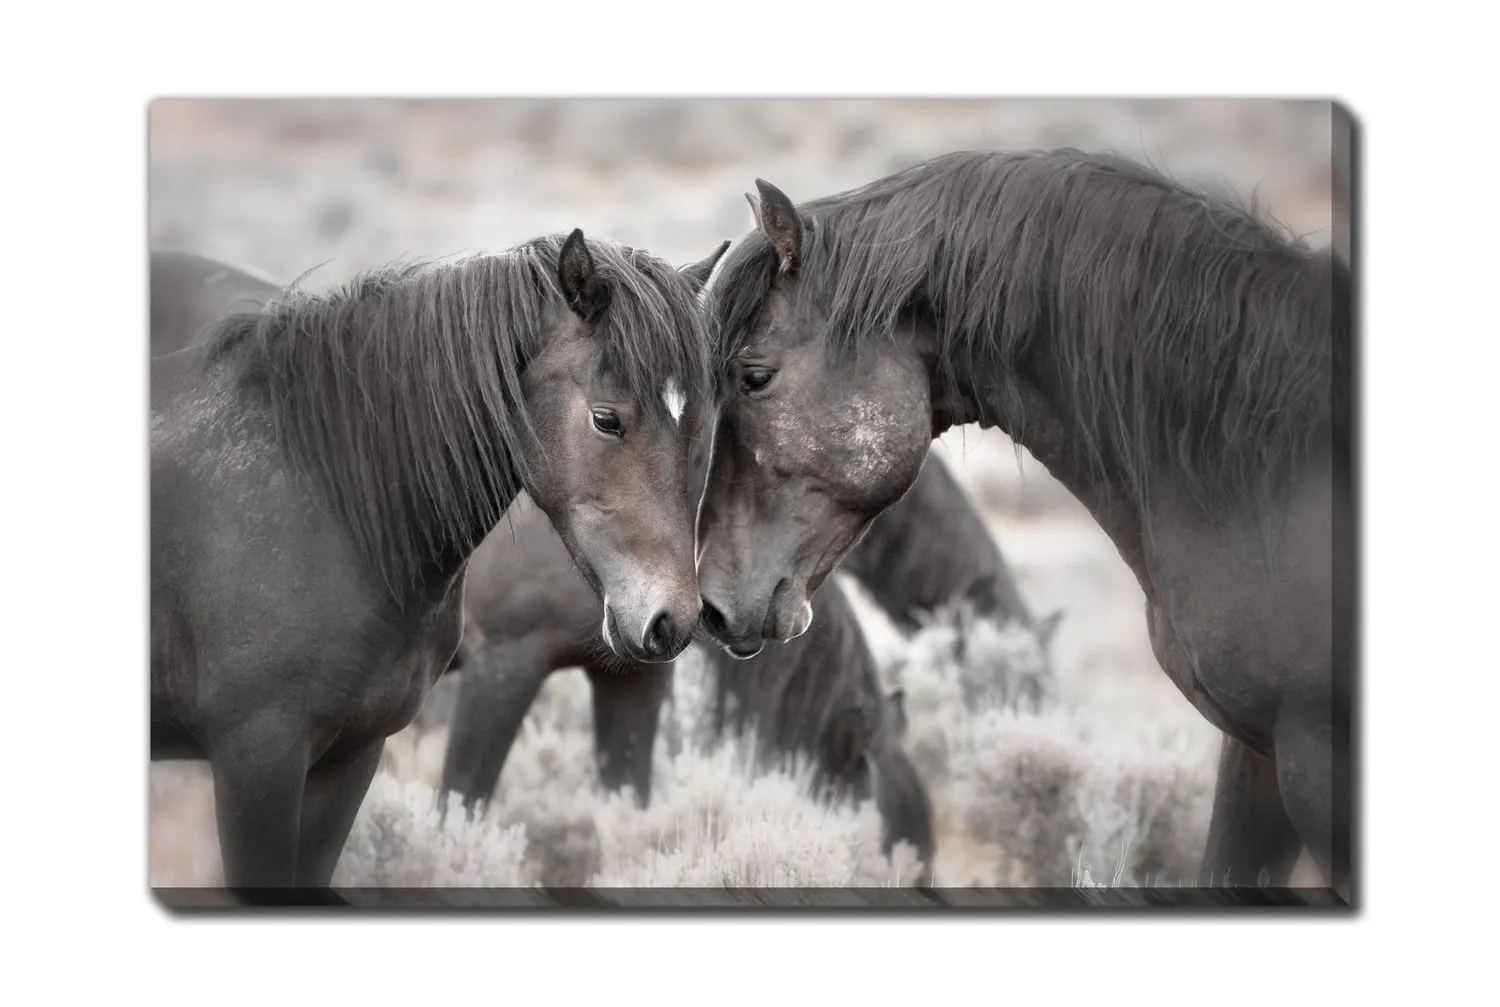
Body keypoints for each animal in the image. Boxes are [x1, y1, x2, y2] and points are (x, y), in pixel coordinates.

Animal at [149, 231, 723, 888]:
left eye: (700, 428)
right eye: (607, 419)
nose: (673, 618)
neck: (324, 504)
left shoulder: (350, 756)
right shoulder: (260, 757)